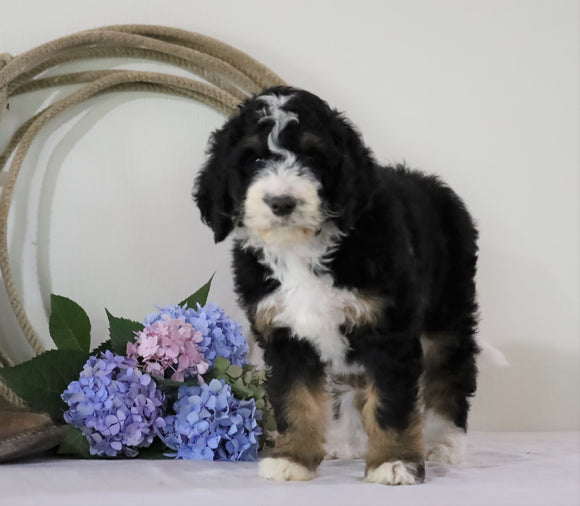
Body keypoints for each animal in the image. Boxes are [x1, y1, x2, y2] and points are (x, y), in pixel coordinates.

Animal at [193, 87, 478, 486]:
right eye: (255, 158)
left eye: (312, 155)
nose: (282, 202)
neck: (302, 248)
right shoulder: (284, 334)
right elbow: (296, 398)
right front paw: (293, 458)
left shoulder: (388, 330)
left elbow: (390, 402)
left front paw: (393, 461)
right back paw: (348, 440)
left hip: (448, 311)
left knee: (449, 373)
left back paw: (445, 442)